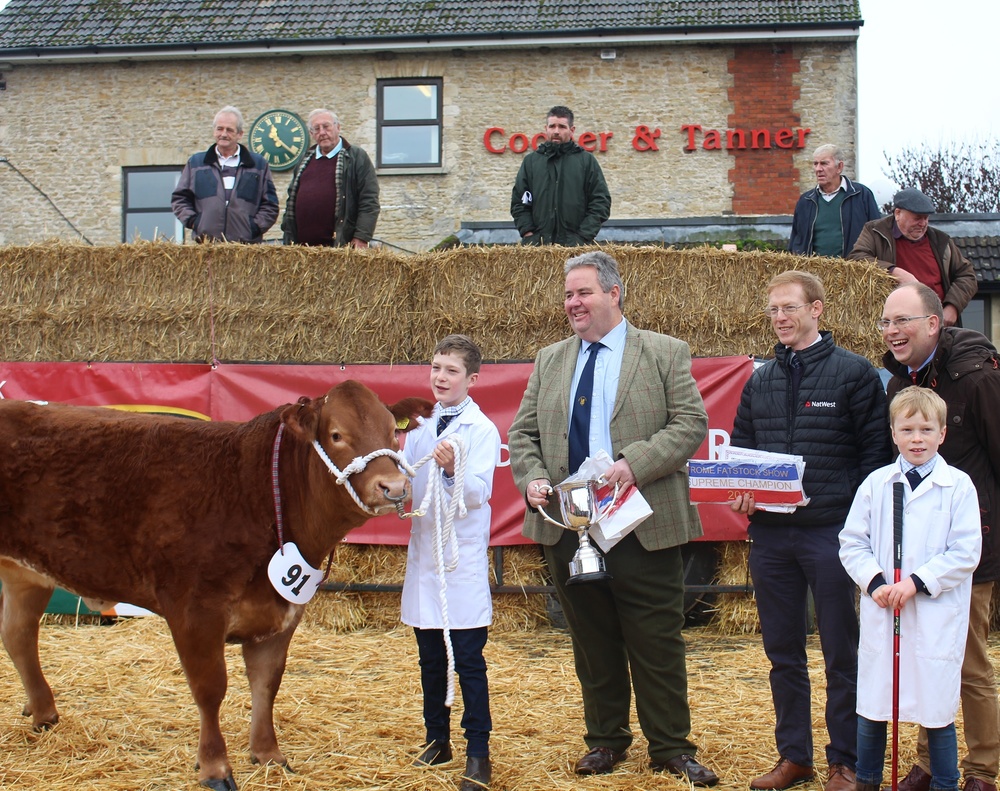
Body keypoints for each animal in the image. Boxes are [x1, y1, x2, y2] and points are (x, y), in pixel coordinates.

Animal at [0, 380, 428, 788]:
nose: (393, 487)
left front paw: (268, 754)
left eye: (392, 431)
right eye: (337, 434)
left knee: (18, 635)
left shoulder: (282, 611)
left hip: (26, 574)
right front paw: (214, 767)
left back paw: (44, 713)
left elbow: (267, 683)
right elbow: (210, 688)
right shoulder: (194, 610)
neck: (257, 494)